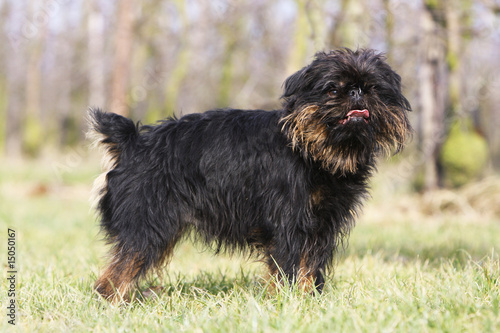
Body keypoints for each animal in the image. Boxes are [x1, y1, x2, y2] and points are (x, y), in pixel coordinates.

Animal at [88, 47, 412, 300]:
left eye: (373, 88)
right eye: (333, 89)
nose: (356, 92)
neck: (315, 151)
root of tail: (133, 143)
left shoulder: (322, 224)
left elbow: (310, 266)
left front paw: (310, 300)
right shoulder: (289, 222)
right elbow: (291, 265)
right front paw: (290, 302)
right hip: (148, 225)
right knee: (116, 273)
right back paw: (114, 304)